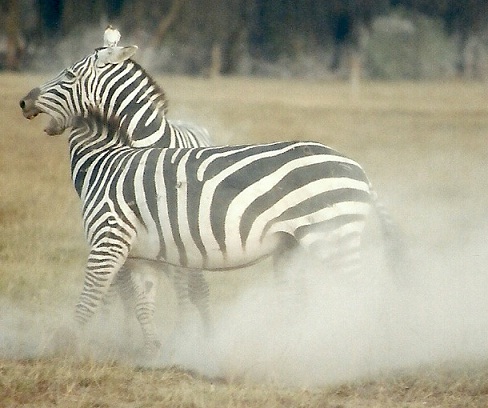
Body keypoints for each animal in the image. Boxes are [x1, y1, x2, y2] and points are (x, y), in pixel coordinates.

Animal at [18, 43, 400, 350]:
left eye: (68, 73)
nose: (23, 101)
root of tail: (358, 169)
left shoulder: (128, 237)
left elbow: (102, 295)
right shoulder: (150, 247)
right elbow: (137, 298)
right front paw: (153, 346)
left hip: (332, 237)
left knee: (359, 292)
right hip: (296, 245)